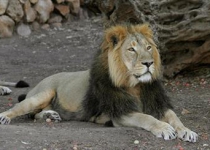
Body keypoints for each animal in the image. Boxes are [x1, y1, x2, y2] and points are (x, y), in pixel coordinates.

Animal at [0, 23, 198, 142]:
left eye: (149, 48)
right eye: (131, 49)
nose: (149, 63)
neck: (136, 86)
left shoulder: (158, 104)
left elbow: (175, 117)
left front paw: (187, 131)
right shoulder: (120, 113)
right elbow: (146, 117)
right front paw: (164, 128)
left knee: (34, 115)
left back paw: (52, 115)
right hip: (43, 93)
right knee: (20, 109)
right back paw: (5, 117)